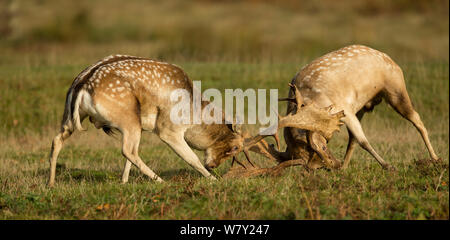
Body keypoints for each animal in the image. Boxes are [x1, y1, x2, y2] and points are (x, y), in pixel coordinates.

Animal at [48, 54, 344, 186]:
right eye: (235, 148)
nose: (213, 164)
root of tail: (83, 84)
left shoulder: (146, 126)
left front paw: (123, 181)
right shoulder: (167, 129)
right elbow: (189, 157)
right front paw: (211, 179)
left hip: (74, 117)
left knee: (57, 139)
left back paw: (51, 183)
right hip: (127, 120)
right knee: (128, 149)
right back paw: (160, 180)